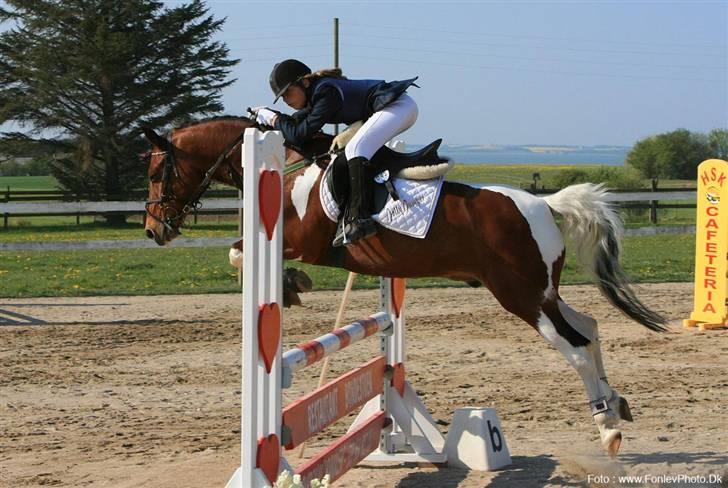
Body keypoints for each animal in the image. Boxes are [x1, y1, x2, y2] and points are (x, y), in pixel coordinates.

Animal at [142, 116, 666, 457]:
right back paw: (617, 404)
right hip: (543, 294)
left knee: (575, 348)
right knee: (590, 327)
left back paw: (607, 430)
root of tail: (543, 204)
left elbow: (239, 251)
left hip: (521, 297)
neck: (289, 167)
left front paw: (290, 285)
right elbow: (239, 252)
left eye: (155, 171)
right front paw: (291, 286)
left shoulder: (297, 240)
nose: (153, 230)